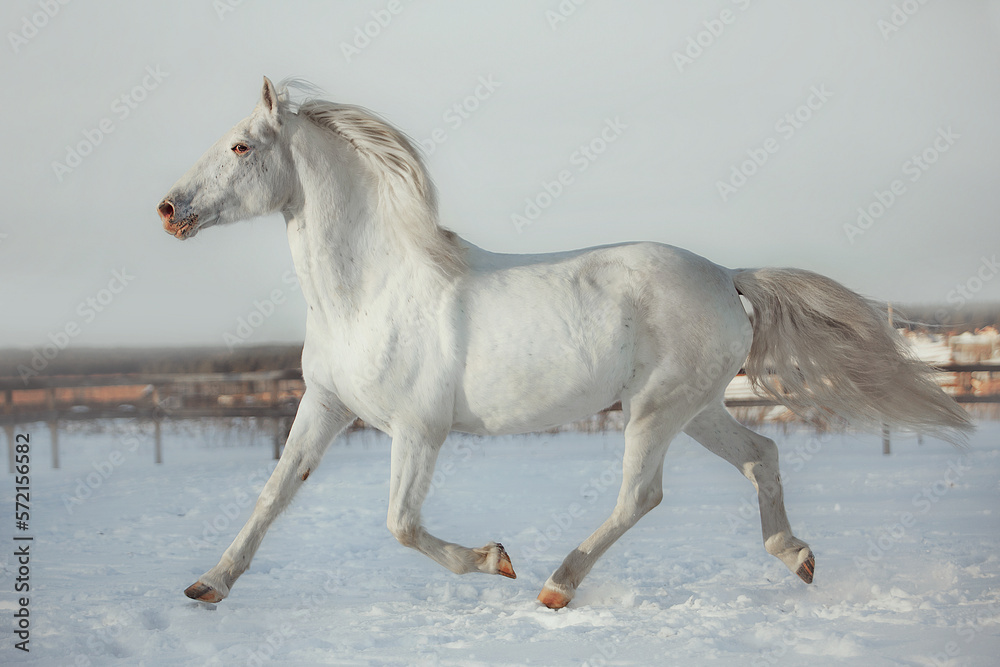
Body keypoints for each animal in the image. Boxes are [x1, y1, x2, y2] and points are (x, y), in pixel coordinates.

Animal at [157, 77, 972, 609]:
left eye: (240, 147)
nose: (169, 208)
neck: (370, 292)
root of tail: (726, 274)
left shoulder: (419, 430)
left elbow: (400, 524)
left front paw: (495, 559)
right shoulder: (325, 404)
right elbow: (274, 492)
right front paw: (207, 585)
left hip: (655, 411)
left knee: (643, 493)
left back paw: (556, 584)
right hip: (696, 408)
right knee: (760, 456)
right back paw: (796, 558)